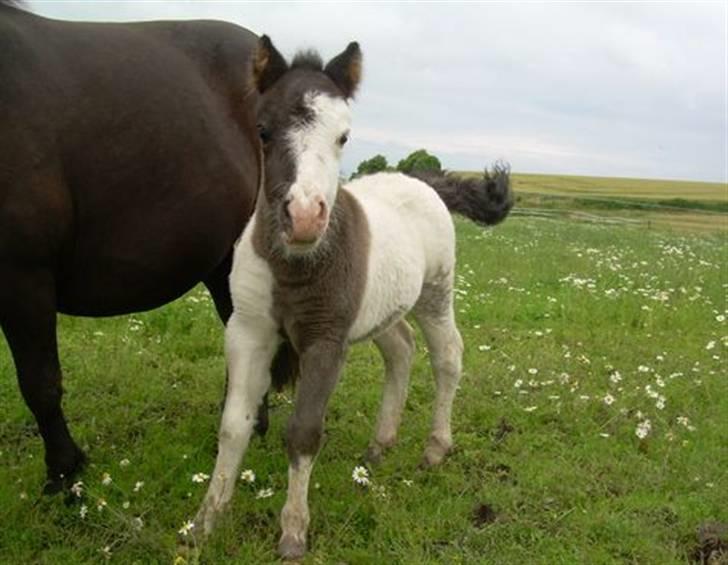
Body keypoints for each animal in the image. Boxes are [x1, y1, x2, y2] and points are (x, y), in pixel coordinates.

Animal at [192, 36, 512, 560]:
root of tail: (421, 180)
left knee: (447, 356)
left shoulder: (326, 340)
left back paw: (434, 449)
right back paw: (380, 445)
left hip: (434, 293)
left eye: (344, 136)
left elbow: (304, 432)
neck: (295, 264)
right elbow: (234, 425)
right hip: (380, 308)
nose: (304, 217)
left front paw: (293, 533)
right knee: (401, 348)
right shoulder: (249, 330)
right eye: (262, 130)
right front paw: (205, 522)